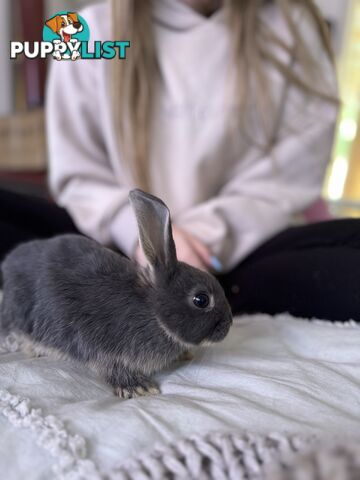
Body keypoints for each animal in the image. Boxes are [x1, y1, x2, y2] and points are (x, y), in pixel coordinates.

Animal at [0, 189, 233, 400]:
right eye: (201, 300)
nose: (229, 324)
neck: (153, 312)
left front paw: (184, 354)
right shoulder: (100, 346)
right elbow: (111, 367)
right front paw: (138, 387)